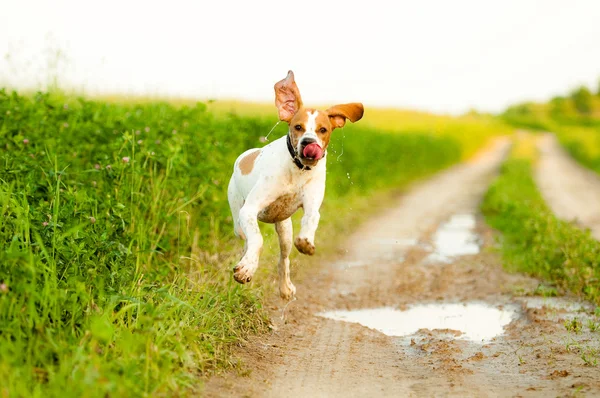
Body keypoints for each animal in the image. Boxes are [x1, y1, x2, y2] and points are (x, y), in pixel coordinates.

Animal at [226, 70, 364, 298]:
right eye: (298, 127)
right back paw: (247, 263)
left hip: (284, 229)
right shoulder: (249, 210)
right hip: (239, 220)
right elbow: (258, 239)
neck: (298, 169)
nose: (309, 143)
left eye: (323, 130)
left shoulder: (312, 205)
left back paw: (285, 287)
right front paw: (246, 268)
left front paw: (306, 243)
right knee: (248, 239)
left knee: (284, 258)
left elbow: (311, 219)